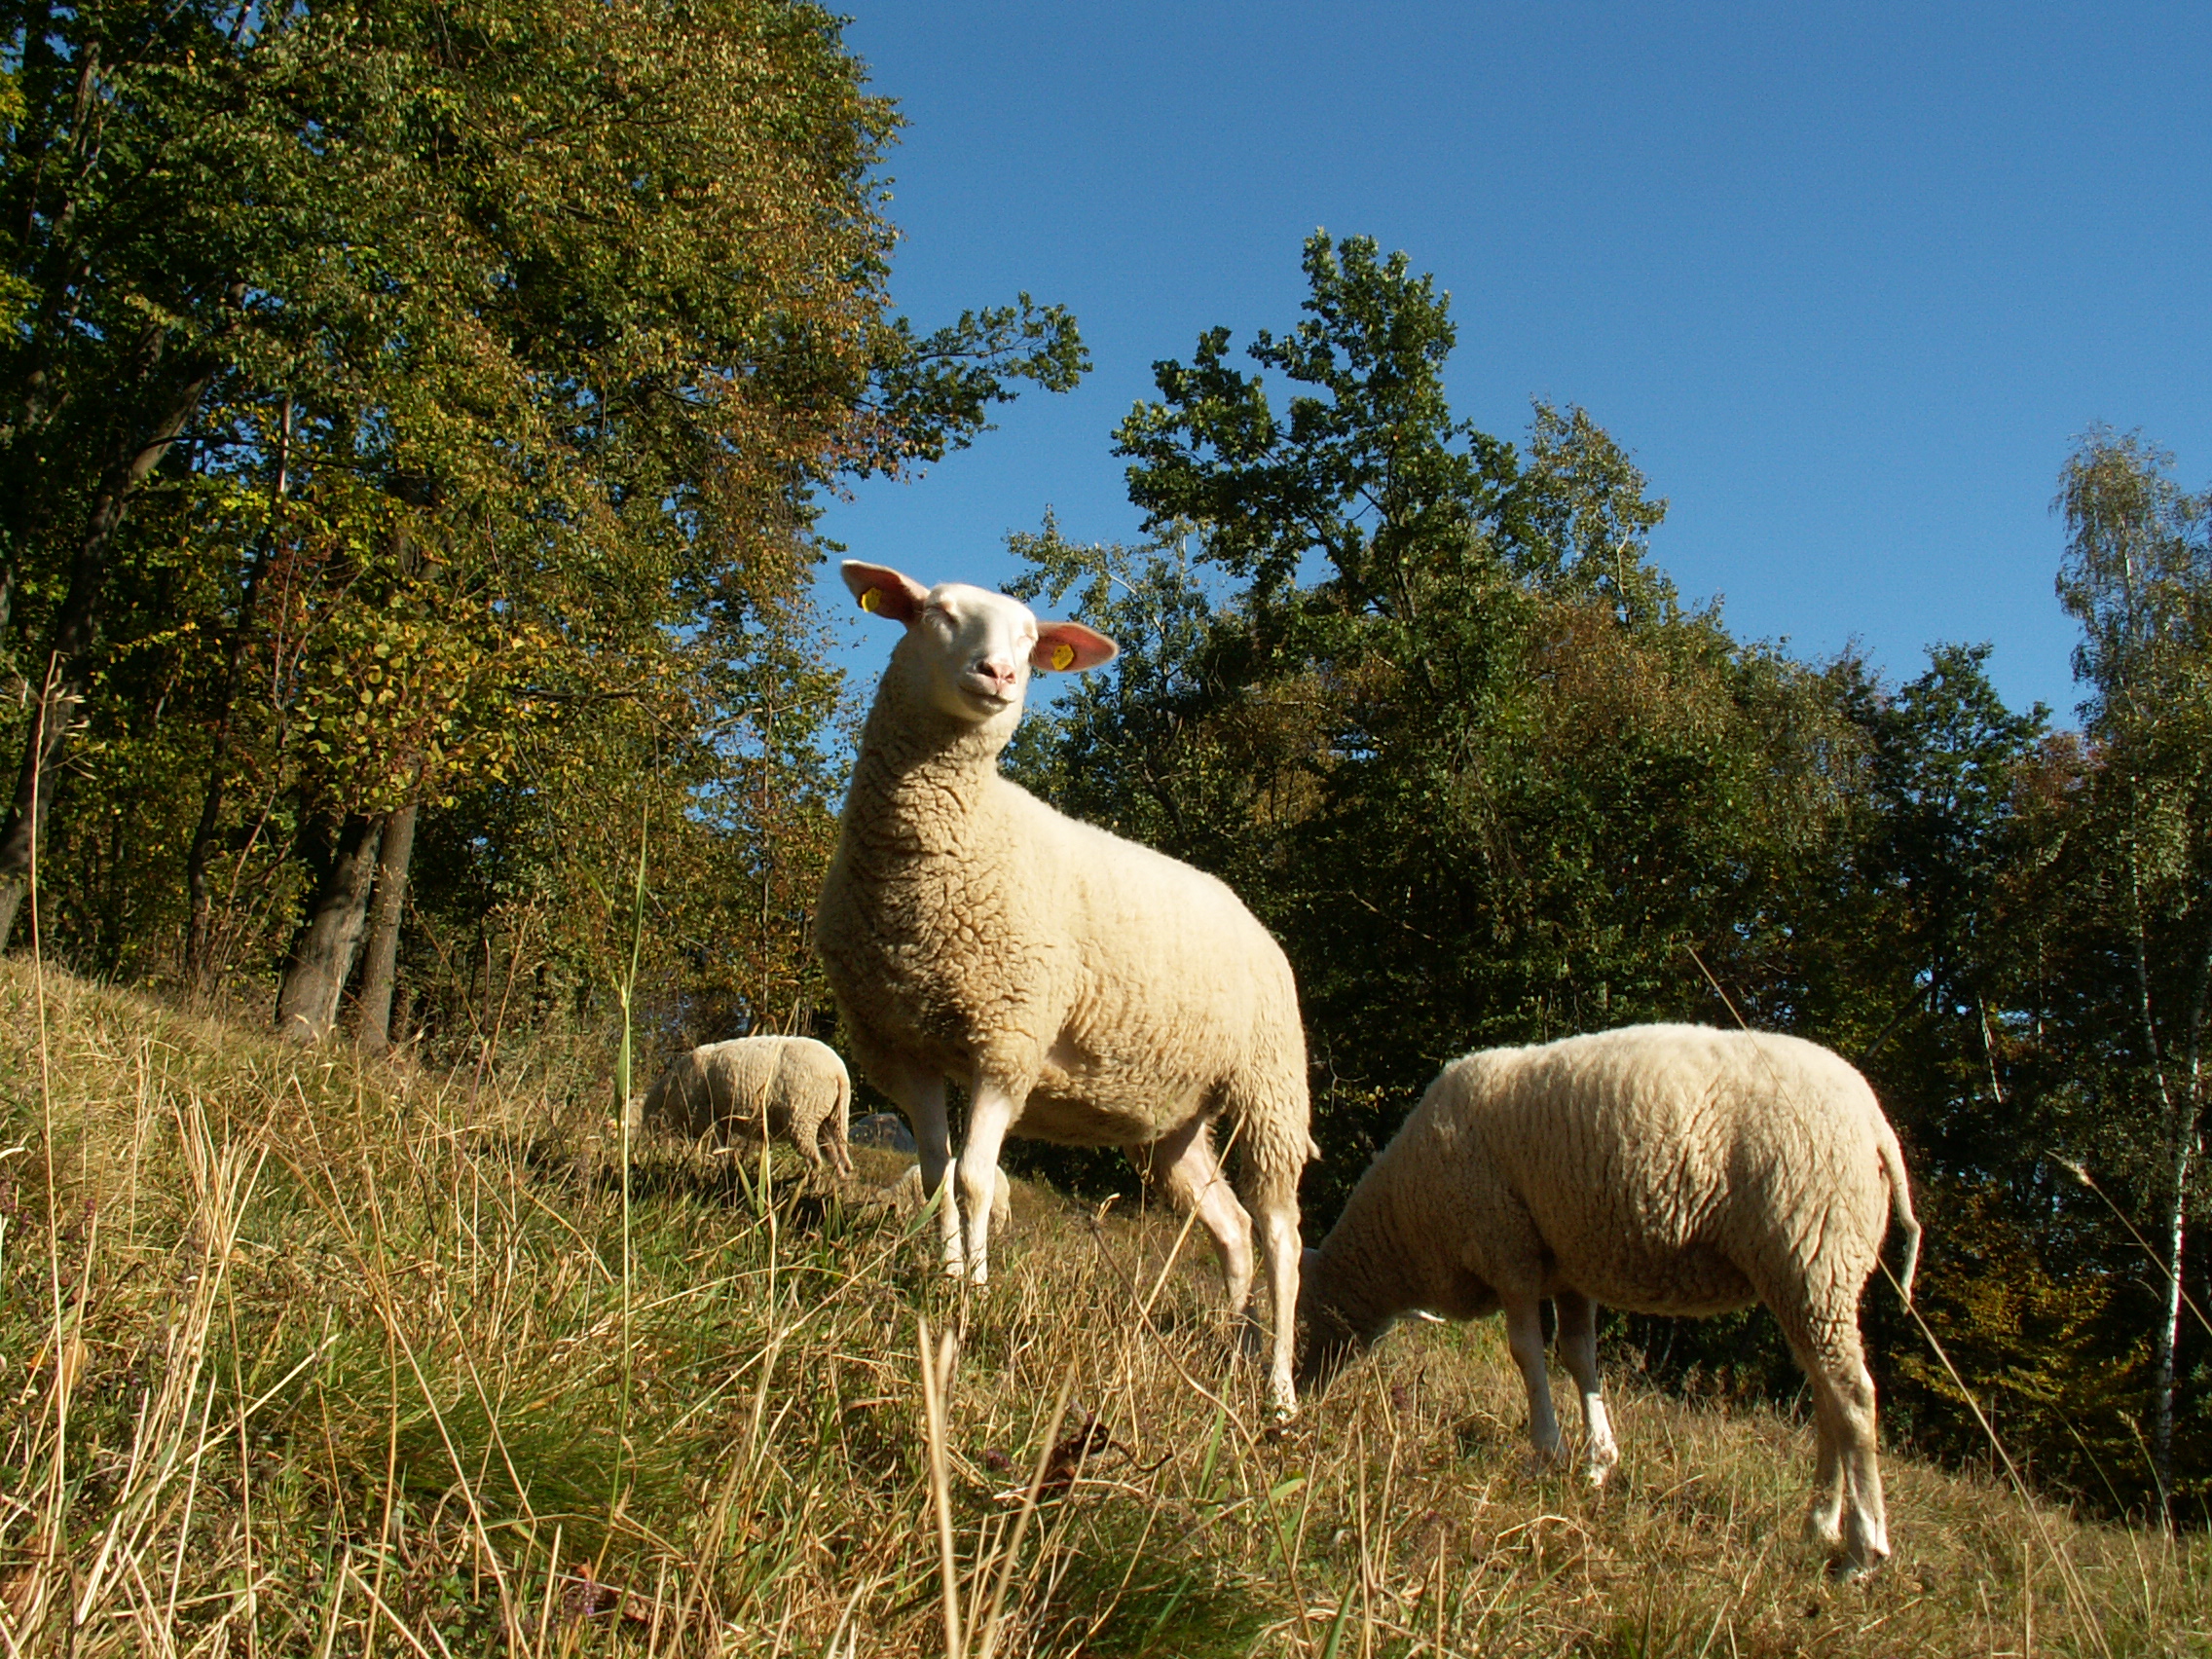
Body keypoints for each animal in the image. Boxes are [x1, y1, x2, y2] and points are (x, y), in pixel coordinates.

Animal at [637, 1039, 858, 1185]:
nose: (645, 1146)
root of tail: (839, 1073)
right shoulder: (721, 1121)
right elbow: (722, 1148)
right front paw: (723, 1169)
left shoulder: (708, 1118)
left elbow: (715, 1148)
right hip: (831, 1118)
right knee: (836, 1153)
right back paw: (839, 1182)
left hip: (803, 1115)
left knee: (815, 1160)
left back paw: (805, 1184)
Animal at [818, 562, 1309, 1416]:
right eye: (936, 614)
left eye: (1029, 639)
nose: (1001, 676)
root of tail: (1249, 914)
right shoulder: (902, 1046)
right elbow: (935, 1176)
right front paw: (942, 1275)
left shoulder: (1007, 1039)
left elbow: (976, 1179)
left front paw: (974, 1294)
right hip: (1173, 1120)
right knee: (1232, 1228)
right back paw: (1226, 1345)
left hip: (1271, 1083)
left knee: (1283, 1234)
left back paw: (1277, 1391)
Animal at [1291, 1021, 1920, 1574]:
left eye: (1298, 1316)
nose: (1297, 1396)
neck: (1408, 1220)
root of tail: (1877, 1127)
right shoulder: (1570, 1267)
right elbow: (1578, 1357)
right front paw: (1598, 1462)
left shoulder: (1507, 1247)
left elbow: (1527, 1354)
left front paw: (1545, 1454)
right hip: (1812, 1271)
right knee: (1826, 1396)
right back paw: (1818, 1524)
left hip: (1812, 1248)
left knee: (1852, 1395)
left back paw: (1863, 1550)